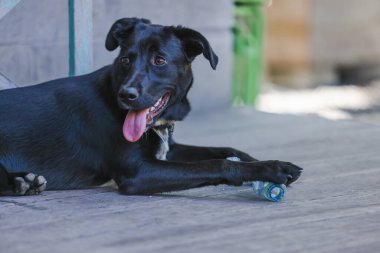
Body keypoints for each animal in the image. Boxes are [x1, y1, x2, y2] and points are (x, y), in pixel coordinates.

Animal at [0, 17, 302, 196]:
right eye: (125, 60)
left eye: (159, 60)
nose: (126, 95)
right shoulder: (138, 172)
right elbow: (216, 162)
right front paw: (270, 170)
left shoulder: (168, 150)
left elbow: (227, 149)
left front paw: (264, 162)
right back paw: (21, 183)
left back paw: (25, 181)